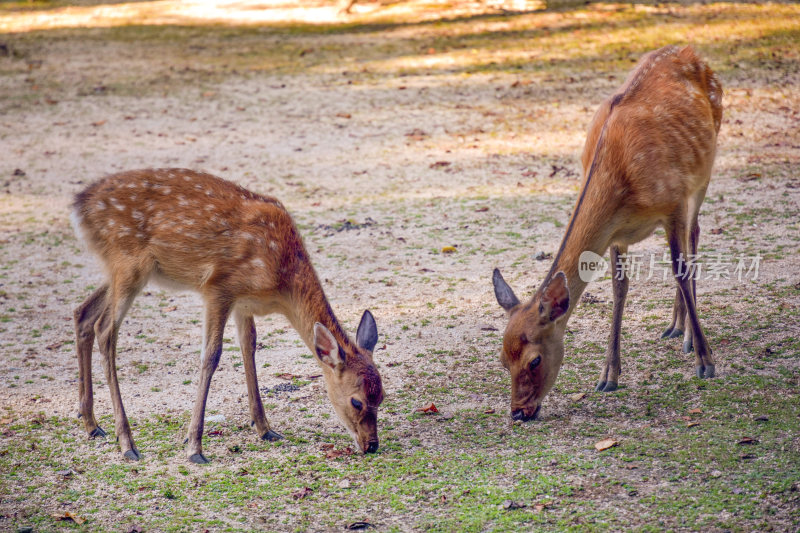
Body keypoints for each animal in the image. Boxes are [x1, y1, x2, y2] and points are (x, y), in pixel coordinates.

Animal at [73, 169, 386, 462]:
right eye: (357, 401)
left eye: (382, 396)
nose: (371, 445)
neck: (281, 282)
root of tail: (79, 206)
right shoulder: (219, 287)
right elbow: (212, 355)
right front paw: (194, 447)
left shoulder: (243, 303)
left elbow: (249, 346)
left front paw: (264, 428)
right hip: (129, 263)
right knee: (105, 330)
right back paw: (127, 442)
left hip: (123, 270)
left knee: (83, 312)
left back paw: (91, 424)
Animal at [494, 44, 724, 420]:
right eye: (502, 359)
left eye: (535, 360)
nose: (518, 412)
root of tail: (690, 51)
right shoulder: (616, 234)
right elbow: (619, 290)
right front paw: (608, 376)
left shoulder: (674, 203)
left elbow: (680, 270)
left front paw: (706, 362)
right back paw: (675, 327)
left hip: (704, 169)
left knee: (695, 237)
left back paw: (690, 338)